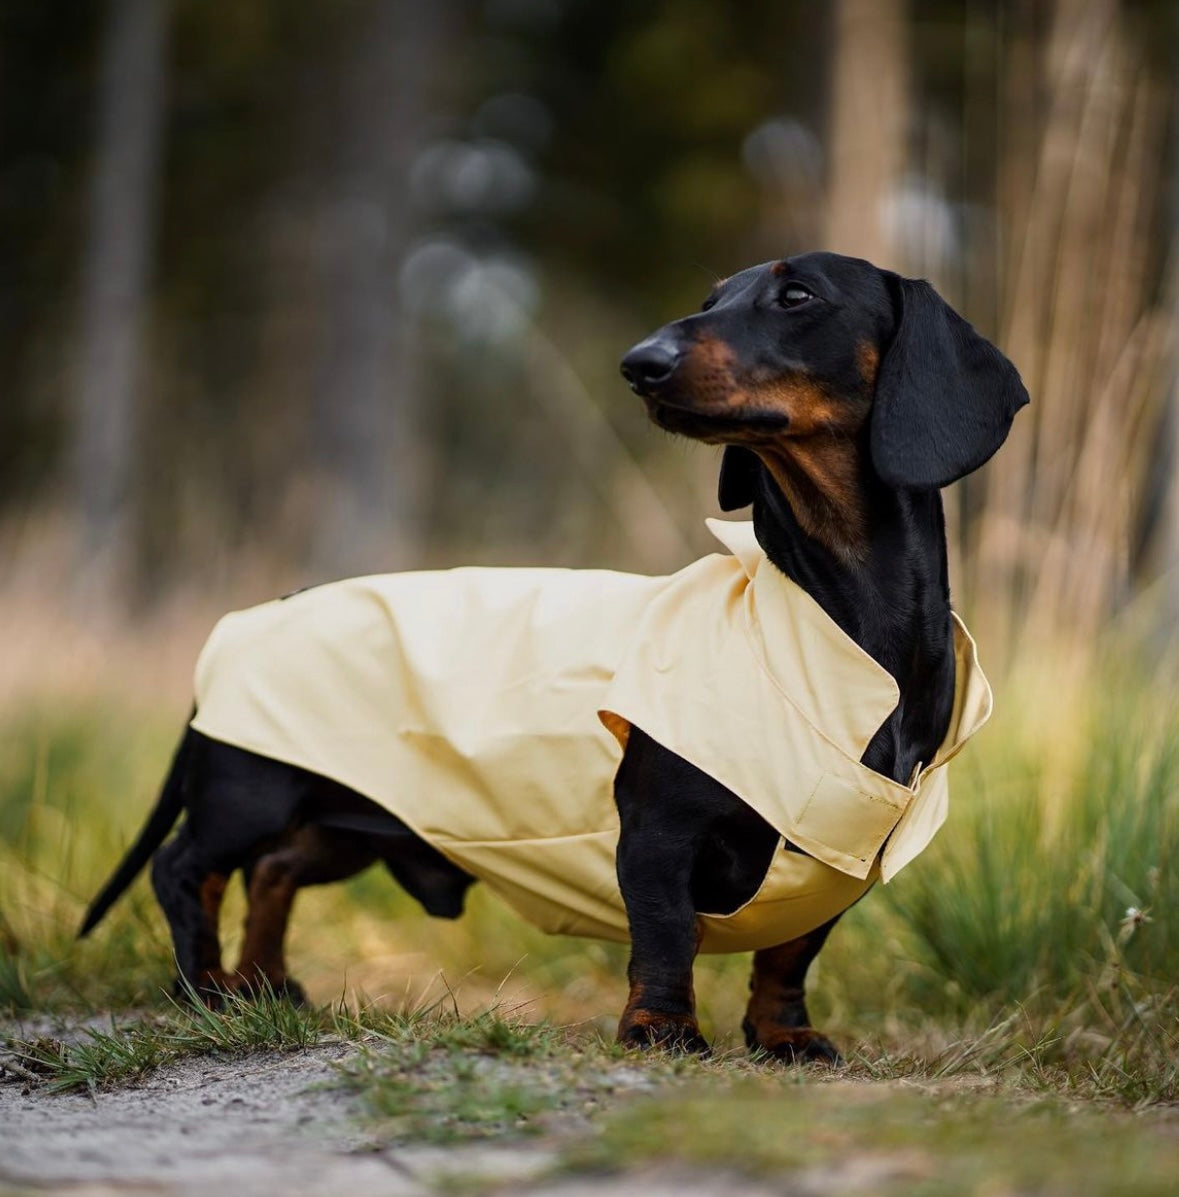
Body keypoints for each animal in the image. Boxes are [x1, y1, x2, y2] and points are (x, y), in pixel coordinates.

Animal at [80, 250, 1019, 1058]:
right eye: (711, 297)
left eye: (796, 296)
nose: (639, 363)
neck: (830, 613)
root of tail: (251, 620)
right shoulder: (658, 829)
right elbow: (664, 934)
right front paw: (661, 1029)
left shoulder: (840, 845)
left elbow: (791, 952)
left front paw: (783, 1034)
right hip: (249, 789)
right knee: (186, 868)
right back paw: (205, 988)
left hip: (343, 818)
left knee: (272, 870)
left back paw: (262, 984)